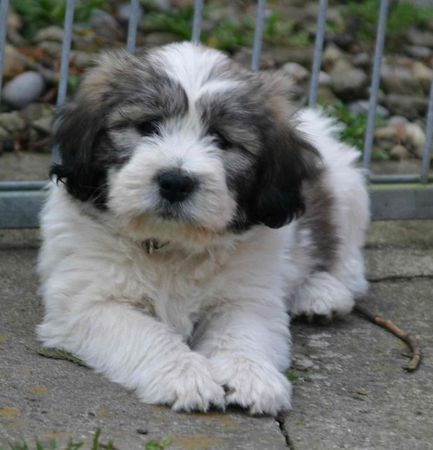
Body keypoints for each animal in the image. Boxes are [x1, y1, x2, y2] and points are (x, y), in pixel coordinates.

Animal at [38, 41, 368, 414]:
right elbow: (147, 333)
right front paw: (184, 375)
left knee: (348, 263)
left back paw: (321, 294)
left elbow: (242, 332)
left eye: (221, 140)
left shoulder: (247, 295)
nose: (176, 181)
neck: (171, 244)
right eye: (147, 125)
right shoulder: (89, 302)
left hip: (347, 186)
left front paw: (252, 375)